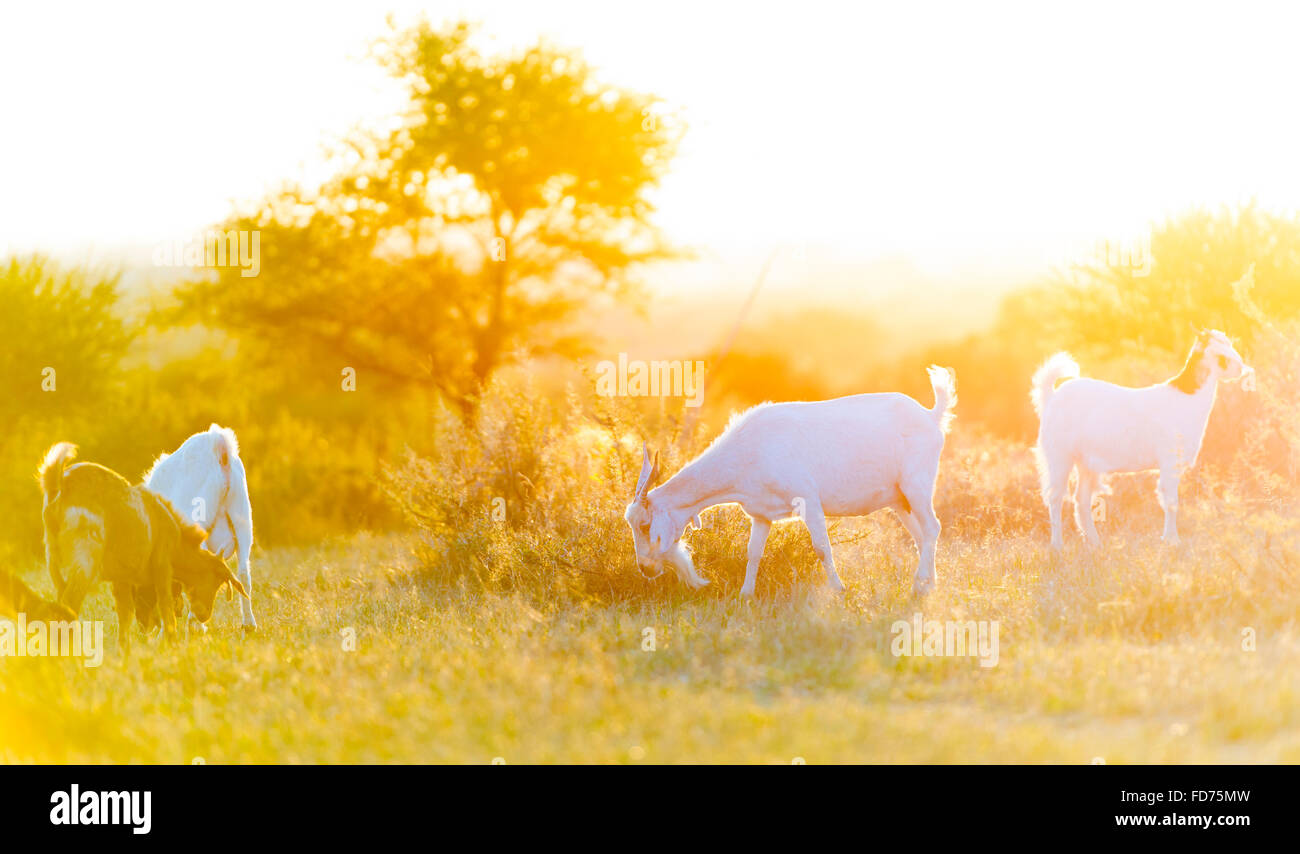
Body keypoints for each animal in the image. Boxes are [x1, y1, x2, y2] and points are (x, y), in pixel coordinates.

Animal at [38, 439, 245, 652]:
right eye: (217, 582)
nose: (204, 615)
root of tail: (59, 484)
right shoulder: (162, 568)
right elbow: (166, 608)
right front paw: (172, 644)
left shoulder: (122, 579)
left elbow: (125, 612)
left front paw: (124, 649)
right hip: (85, 558)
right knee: (69, 604)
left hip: (55, 564)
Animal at [144, 423, 256, 629]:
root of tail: (218, 444)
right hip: (243, 519)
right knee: (244, 572)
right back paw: (248, 625)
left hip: (200, 519)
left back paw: (196, 623)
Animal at [624, 363, 961, 592]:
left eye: (645, 524)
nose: (645, 569)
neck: (749, 449)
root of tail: (930, 415)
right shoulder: (760, 514)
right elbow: (753, 553)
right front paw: (746, 595)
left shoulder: (808, 500)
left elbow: (822, 547)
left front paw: (839, 589)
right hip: (899, 500)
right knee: (921, 535)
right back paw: (930, 584)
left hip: (916, 486)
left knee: (933, 527)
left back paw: (919, 584)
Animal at [1029, 326, 1253, 545]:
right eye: (1218, 354)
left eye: (1229, 344)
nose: (1240, 368)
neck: (1186, 397)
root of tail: (1051, 397)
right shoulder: (1170, 460)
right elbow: (1171, 502)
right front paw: (1172, 541)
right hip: (1059, 454)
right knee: (1055, 497)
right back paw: (1058, 545)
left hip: (1085, 462)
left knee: (1081, 500)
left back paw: (1095, 543)